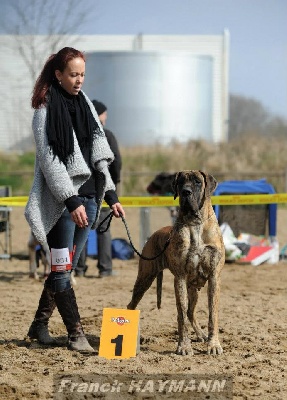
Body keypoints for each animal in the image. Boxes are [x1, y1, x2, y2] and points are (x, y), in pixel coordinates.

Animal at [129, 170, 226, 354]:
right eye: (180, 182)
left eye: (197, 181)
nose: (186, 192)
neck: (195, 223)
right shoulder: (180, 278)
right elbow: (181, 313)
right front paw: (184, 346)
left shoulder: (214, 277)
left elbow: (213, 314)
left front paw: (214, 344)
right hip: (144, 278)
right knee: (131, 305)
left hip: (193, 289)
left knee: (191, 312)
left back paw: (201, 334)